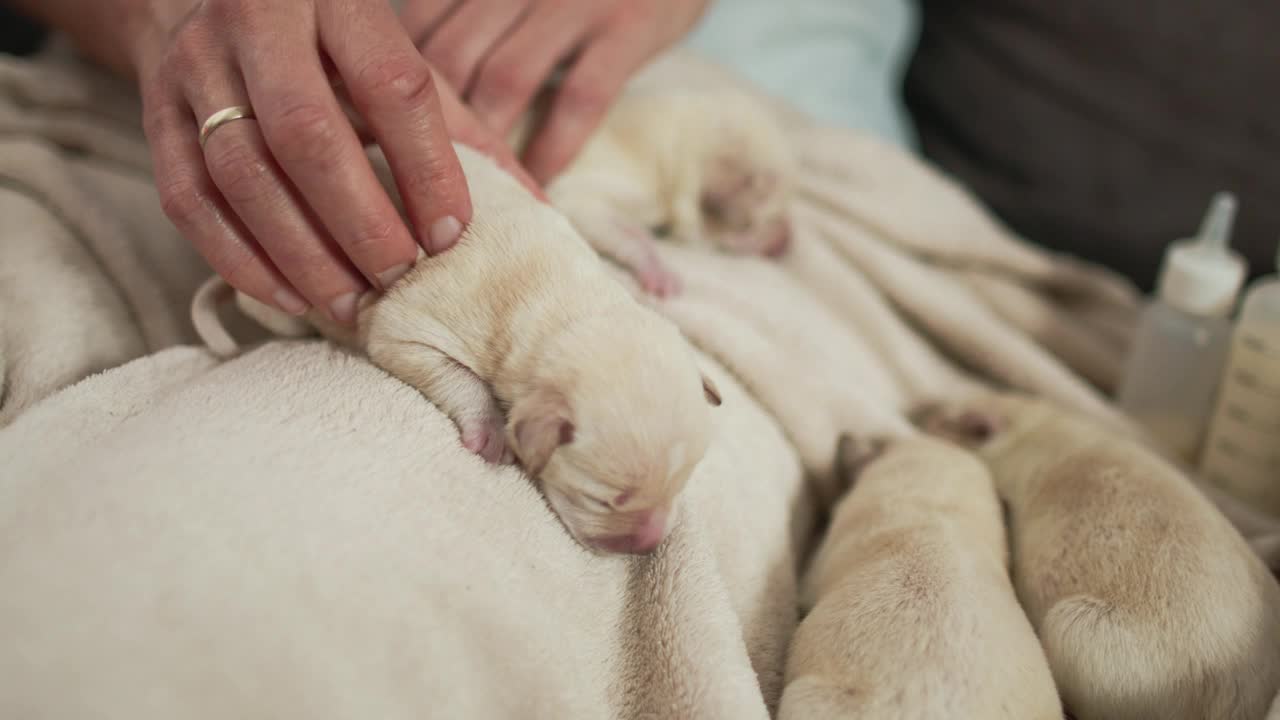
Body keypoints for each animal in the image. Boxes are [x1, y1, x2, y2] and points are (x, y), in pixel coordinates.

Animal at [194, 141, 727, 556]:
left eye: (685, 480)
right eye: (603, 500)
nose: (651, 547)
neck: (565, 303)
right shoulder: (406, 326)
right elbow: (454, 374)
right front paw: (489, 429)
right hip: (279, 300)